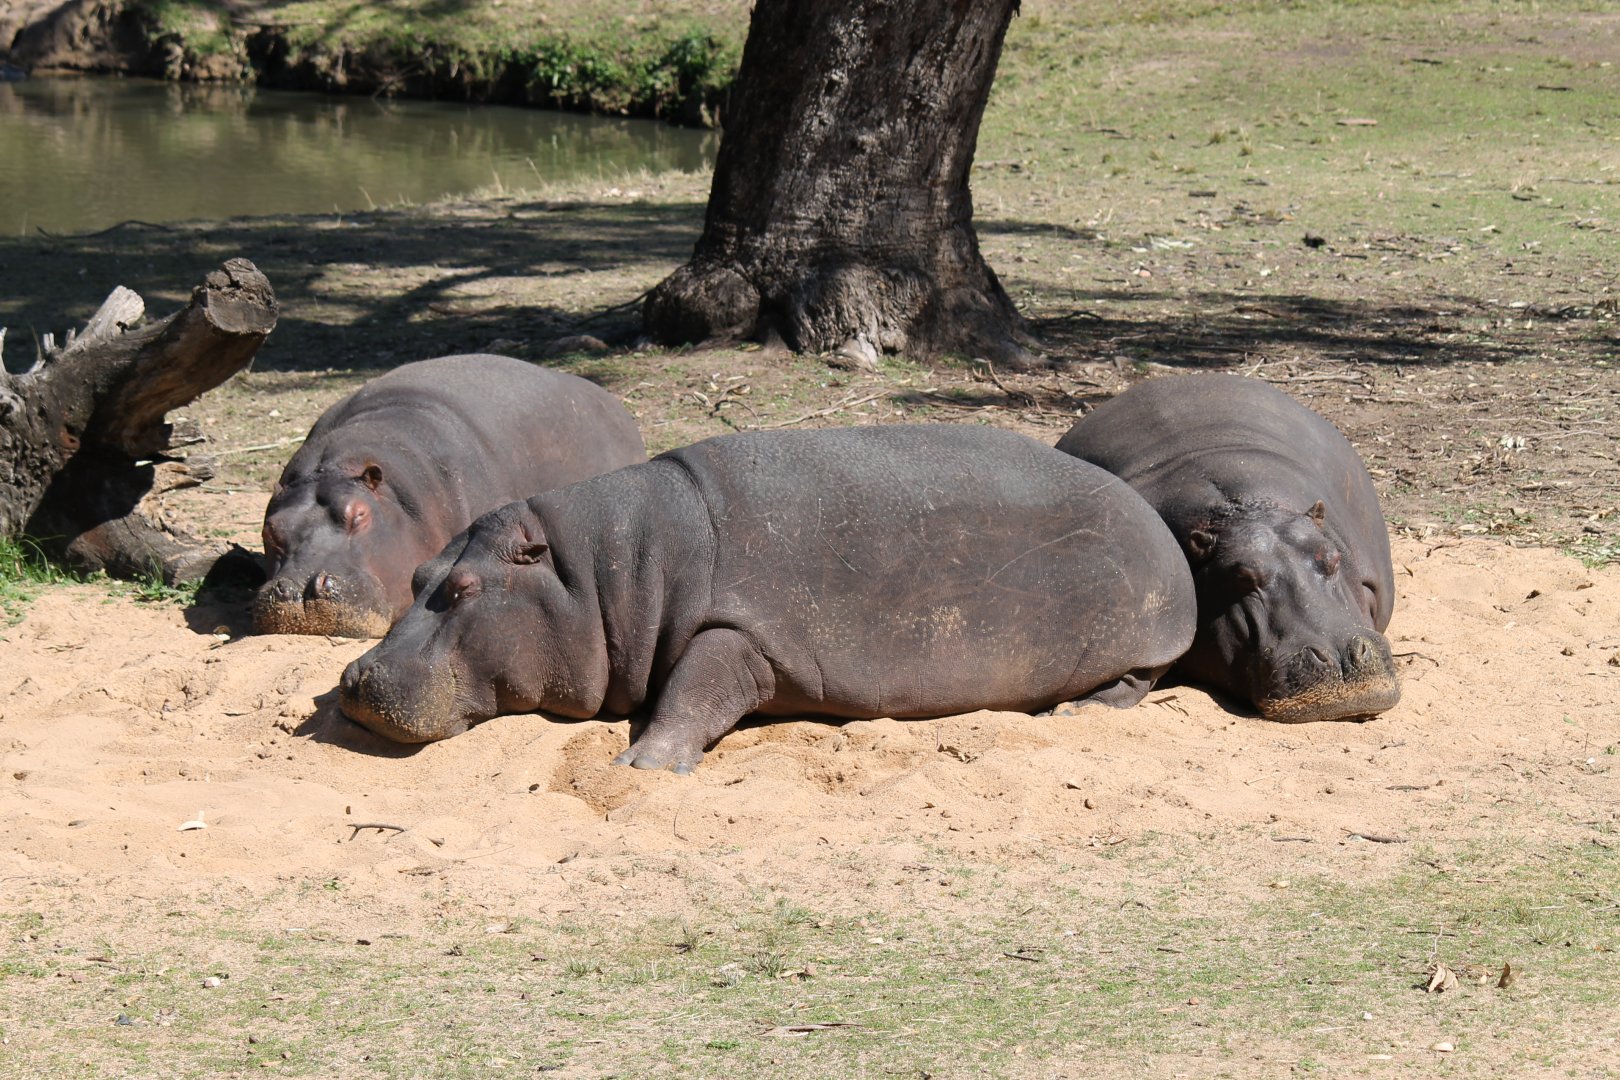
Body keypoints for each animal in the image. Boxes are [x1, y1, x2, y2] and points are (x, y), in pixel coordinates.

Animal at [339, 424, 1197, 772]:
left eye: (463, 587)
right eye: (417, 578)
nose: (352, 676)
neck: (604, 572)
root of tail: (1156, 522)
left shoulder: (742, 629)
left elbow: (697, 689)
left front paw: (644, 763)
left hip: (1141, 634)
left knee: (1136, 680)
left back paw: (1077, 712)